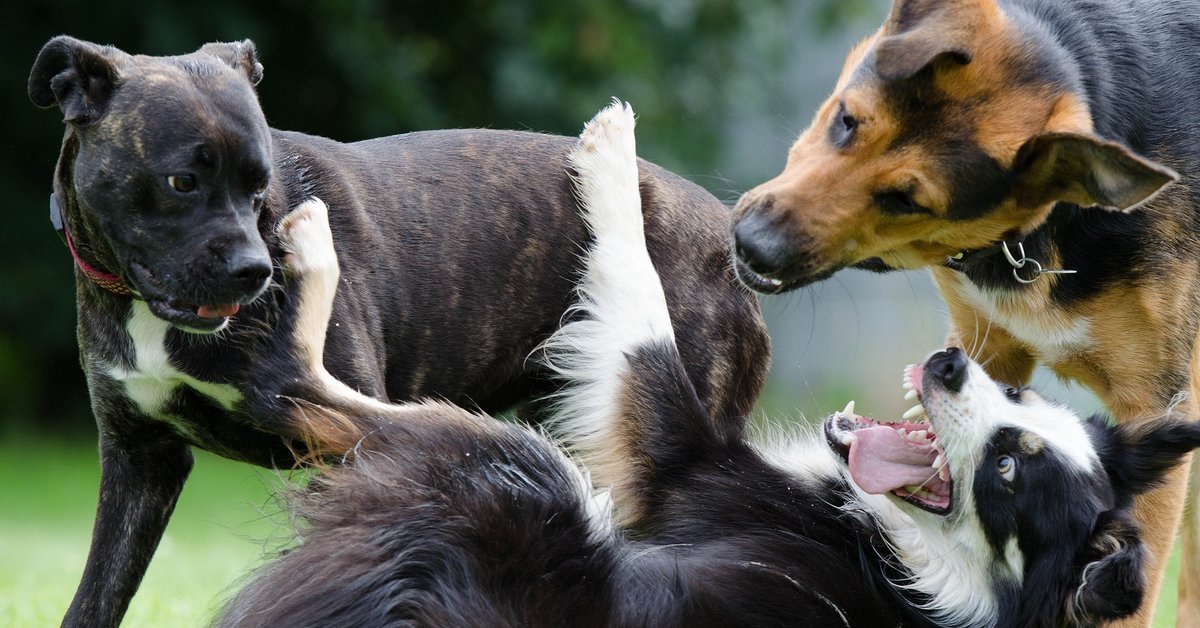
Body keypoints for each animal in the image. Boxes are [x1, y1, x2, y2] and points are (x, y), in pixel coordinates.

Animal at [28, 36, 768, 624]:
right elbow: (96, 597)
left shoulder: (342, 454)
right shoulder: (139, 460)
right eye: (182, 181)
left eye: (259, 187)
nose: (255, 270)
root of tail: (726, 239)